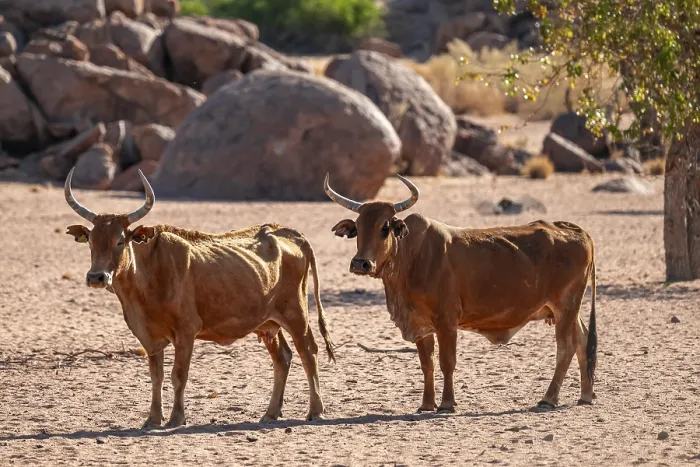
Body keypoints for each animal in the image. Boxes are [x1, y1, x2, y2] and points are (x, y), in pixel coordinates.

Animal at [63, 168, 336, 428]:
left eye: (120, 241)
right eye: (91, 241)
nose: (97, 277)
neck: (149, 273)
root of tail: (288, 233)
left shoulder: (186, 332)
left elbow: (178, 375)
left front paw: (176, 418)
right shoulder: (150, 338)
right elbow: (156, 377)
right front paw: (153, 418)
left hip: (296, 314)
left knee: (308, 352)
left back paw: (315, 410)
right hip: (268, 324)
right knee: (283, 358)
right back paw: (270, 413)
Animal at [323, 173, 597, 413]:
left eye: (385, 227)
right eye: (358, 228)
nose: (361, 263)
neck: (412, 257)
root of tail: (575, 230)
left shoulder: (446, 322)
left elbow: (447, 363)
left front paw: (447, 404)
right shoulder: (421, 325)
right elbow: (427, 365)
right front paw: (426, 404)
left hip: (566, 305)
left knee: (565, 347)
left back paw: (548, 398)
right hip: (567, 310)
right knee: (582, 341)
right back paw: (585, 395)